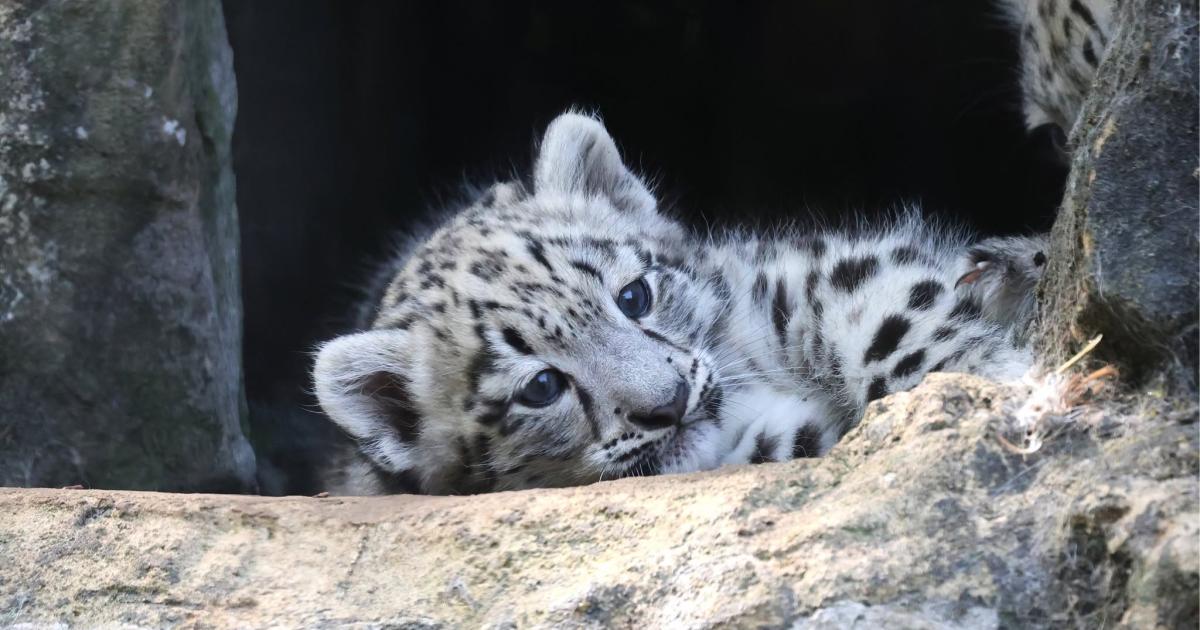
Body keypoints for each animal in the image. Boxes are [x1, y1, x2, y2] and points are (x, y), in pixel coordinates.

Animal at [313, 112, 1048, 495]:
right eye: (541, 386)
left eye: (634, 295)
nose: (667, 404)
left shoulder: (792, 276)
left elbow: (880, 313)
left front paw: (997, 378)